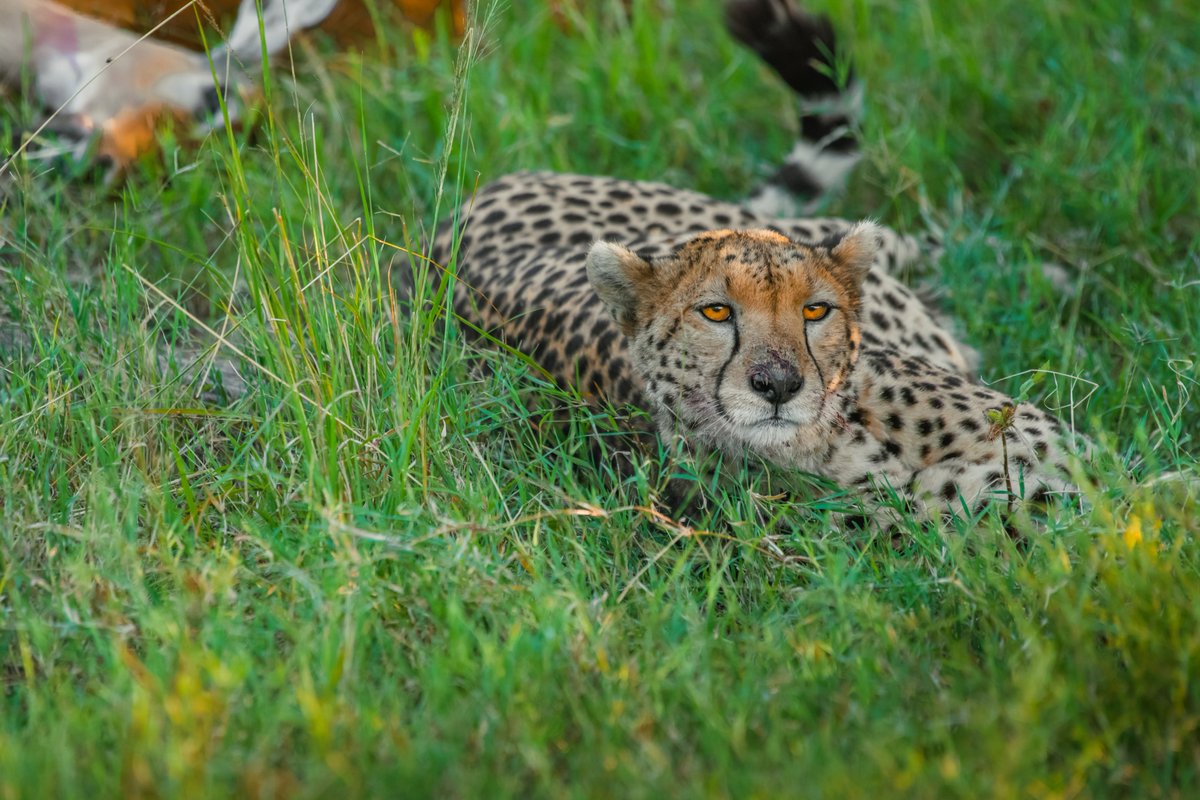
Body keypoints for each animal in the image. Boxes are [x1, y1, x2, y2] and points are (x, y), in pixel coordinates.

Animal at [429, 0, 1089, 515]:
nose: (778, 385)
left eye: (815, 311)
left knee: (934, 247)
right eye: (716, 313)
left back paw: (1061, 274)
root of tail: (444, 229)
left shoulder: (1050, 453)